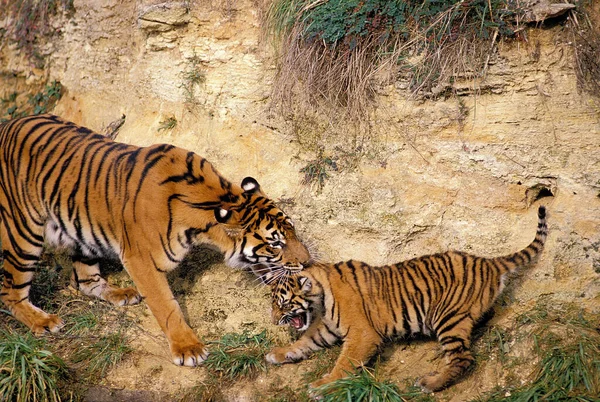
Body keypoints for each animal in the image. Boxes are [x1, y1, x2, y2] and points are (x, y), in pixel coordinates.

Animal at [0, 114, 310, 368]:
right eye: (275, 243)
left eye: (293, 232)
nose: (307, 262)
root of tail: (8, 124)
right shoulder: (140, 259)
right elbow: (166, 305)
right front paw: (188, 349)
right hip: (22, 233)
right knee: (11, 292)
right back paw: (43, 321)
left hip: (81, 233)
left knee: (86, 281)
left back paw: (120, 293)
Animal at [264, 207, 548, 392]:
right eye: (274, 304)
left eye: (283, 304)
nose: (275, 321)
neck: (322, 295)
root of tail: (487, 262)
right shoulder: (327, 328)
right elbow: (305, 341)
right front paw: (278, 353)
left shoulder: (361, 334)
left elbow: (343, 363)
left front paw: (322, 385)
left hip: (448, 317)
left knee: (463, 358)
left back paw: (430, 384)